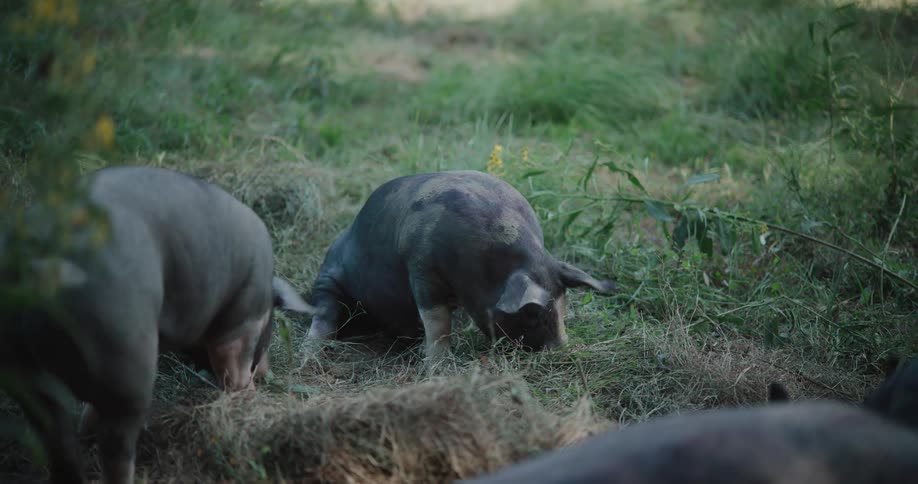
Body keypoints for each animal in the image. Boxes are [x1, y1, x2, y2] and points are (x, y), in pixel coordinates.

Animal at [0, 165, 314, 484]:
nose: (265, 373)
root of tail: (42, 263)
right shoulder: (241, 324)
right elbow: (234, 371)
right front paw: (248, 399)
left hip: (21, 367)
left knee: (58, 441)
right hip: (126, 357)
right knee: (116, 447)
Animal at [307, 170, 616, 361]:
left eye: (564, 305)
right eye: (533, 313)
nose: (560, 351)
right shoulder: (421, 267)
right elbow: (436, 320)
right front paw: (437, 364)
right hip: (328, 279)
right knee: (324, 312)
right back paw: (309, 352)